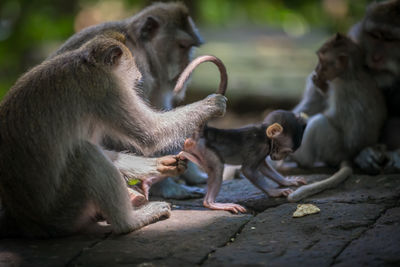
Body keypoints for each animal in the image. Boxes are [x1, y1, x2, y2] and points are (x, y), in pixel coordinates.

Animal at [0, 32, 227, 238]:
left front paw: (158, 165)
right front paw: (212, 104)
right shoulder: (106, 88)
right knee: (86, 155)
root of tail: (26, 222)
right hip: (63, 212)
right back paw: (130, 222)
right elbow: (151, 133)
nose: (138, 78)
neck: (88, 64)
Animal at [178, 110, 306, 215]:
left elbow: (263, 167)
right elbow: (248, 170)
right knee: (218, 166)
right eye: (284, 151)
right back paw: (211, 203)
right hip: (205, 149)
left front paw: (286, 181)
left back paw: (184, 155)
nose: (279, 158)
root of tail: (200, 135)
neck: (264, 135)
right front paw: (274, 192)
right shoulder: (260, 147)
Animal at [290, 33, 386, 201]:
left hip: (333, 149)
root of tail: (349, 155)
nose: (316, 70)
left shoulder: (342, 88)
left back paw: (300, 158)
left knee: (319, 122)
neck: (350, 74)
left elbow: (336, 119)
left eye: (322, 61)